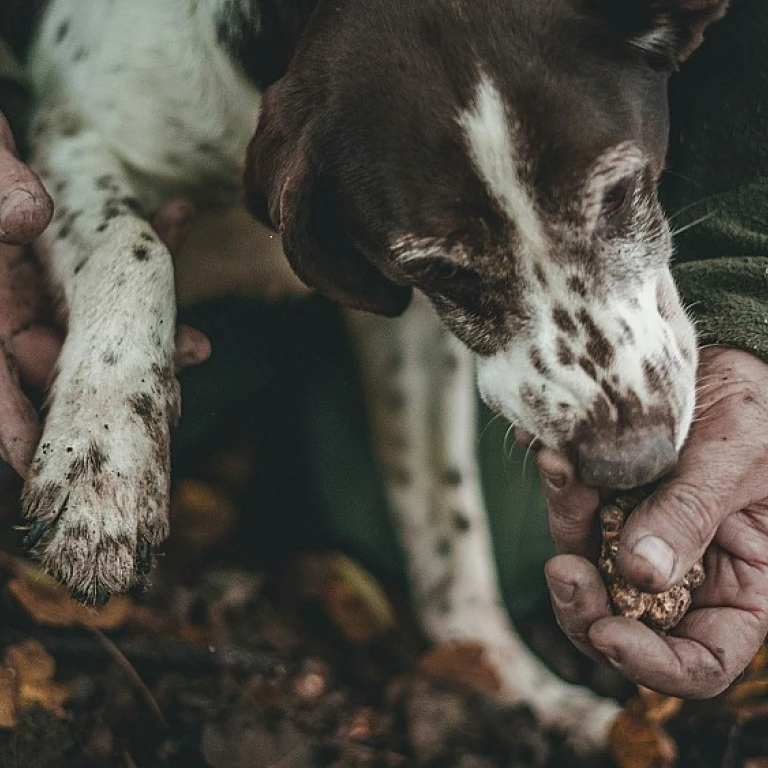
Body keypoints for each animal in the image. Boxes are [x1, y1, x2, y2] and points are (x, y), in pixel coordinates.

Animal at [18, 0, 728, 756]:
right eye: (440, 268)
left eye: (620, 193)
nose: (633, 462)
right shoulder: (71, 141)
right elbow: (134, 245)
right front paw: (102, 464)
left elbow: (448, 530)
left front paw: (511, 684)